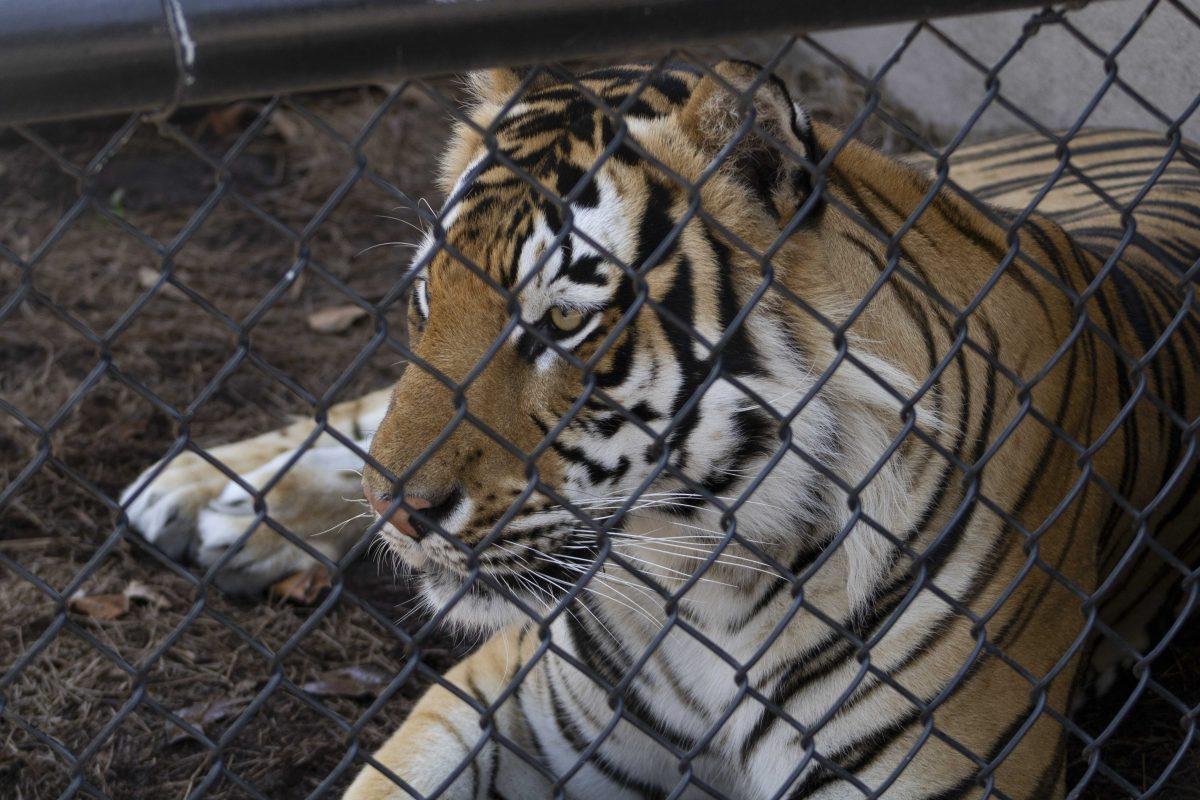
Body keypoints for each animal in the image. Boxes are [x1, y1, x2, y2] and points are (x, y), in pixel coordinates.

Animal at [121, 59, 1200, 796]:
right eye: (430, 296)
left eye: (561, 322)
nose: (400, 513)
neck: (715, 578)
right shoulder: (507, 689)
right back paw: (204, 496)